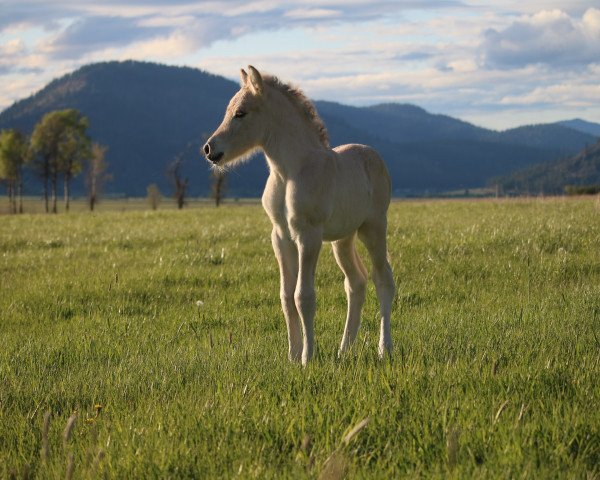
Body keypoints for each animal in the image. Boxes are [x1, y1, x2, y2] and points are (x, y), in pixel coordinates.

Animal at [204, 64, 396, 364]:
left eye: (241, 113)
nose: (210, 149)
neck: (288, 172)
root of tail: (375, 157)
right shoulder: (281, 237)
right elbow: (286, 296)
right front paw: (292, 355)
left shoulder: (308, 235)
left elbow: (303, 296)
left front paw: (307, 357)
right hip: (343, 238)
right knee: (356, 283)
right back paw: (344, 350)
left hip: (373, 227)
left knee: (383, 279)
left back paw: (383, 348)